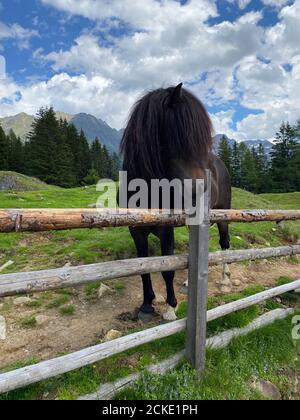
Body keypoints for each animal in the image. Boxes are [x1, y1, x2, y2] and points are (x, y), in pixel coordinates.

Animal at [120, 84, 232, 322]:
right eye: (183, 135)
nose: (200, 189)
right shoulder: (136, 231)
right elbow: (142, 267)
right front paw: (146, 305)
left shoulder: (166, 230)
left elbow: (167, 269)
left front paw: (170, 308)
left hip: (223, 214)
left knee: (225, 243)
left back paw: (226, 280)